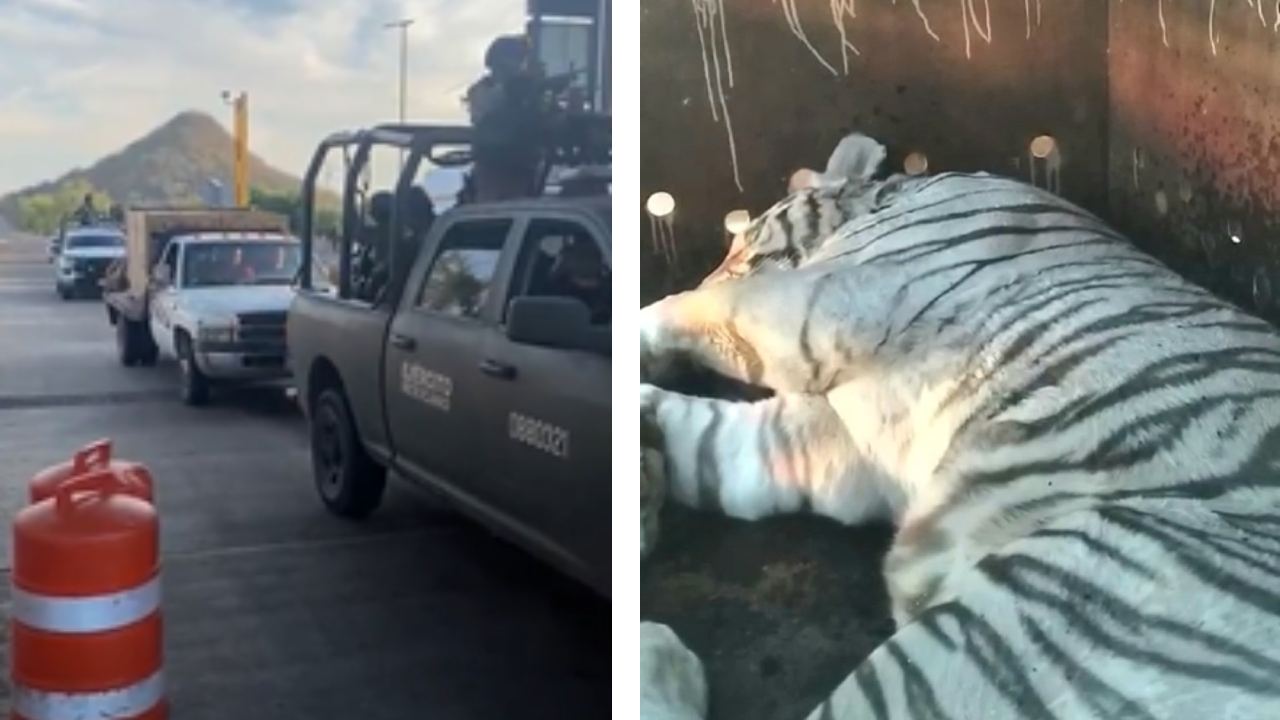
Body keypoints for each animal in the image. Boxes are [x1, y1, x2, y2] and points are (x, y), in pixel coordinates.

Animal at [640, 131, 1280, 717]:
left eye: (743, 246)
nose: (717, 269)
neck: (883, 201)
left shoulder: (832, 301)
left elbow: (698, 311)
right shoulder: (838, 444)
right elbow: (712, 441)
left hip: (1041, 618)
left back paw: (658, 652)